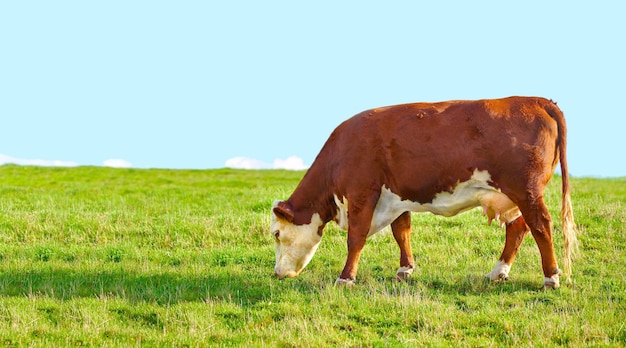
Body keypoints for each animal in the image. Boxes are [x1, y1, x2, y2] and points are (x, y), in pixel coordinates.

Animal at [270, 96, 576, 290]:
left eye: (276, 233)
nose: (277, 274)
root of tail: (537, 100)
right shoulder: (396, 196)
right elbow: (401, 232)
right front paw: (405, 270)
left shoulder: (361, 194)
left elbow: (355, 238)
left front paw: (346, 278)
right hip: (512, 197)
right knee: (518, 228)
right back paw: (497, 272)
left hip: (527, 192)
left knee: (541, 226)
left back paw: (551, 278)